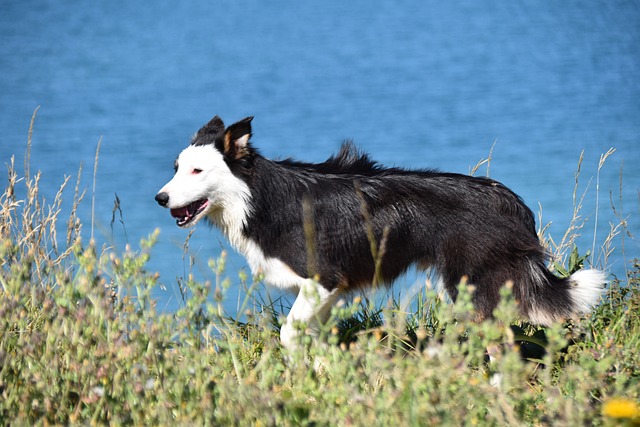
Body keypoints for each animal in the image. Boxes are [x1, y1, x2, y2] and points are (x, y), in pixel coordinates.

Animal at [155, 115, 604, 352]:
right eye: (176, 168)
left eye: (197, 171)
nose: (160, 198)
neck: (257, 196)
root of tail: (512, 202)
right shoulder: (327, 292)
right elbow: (314, 337)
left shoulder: (322, 279)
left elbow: (289, 333)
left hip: (473, 289)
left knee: (501, 344)